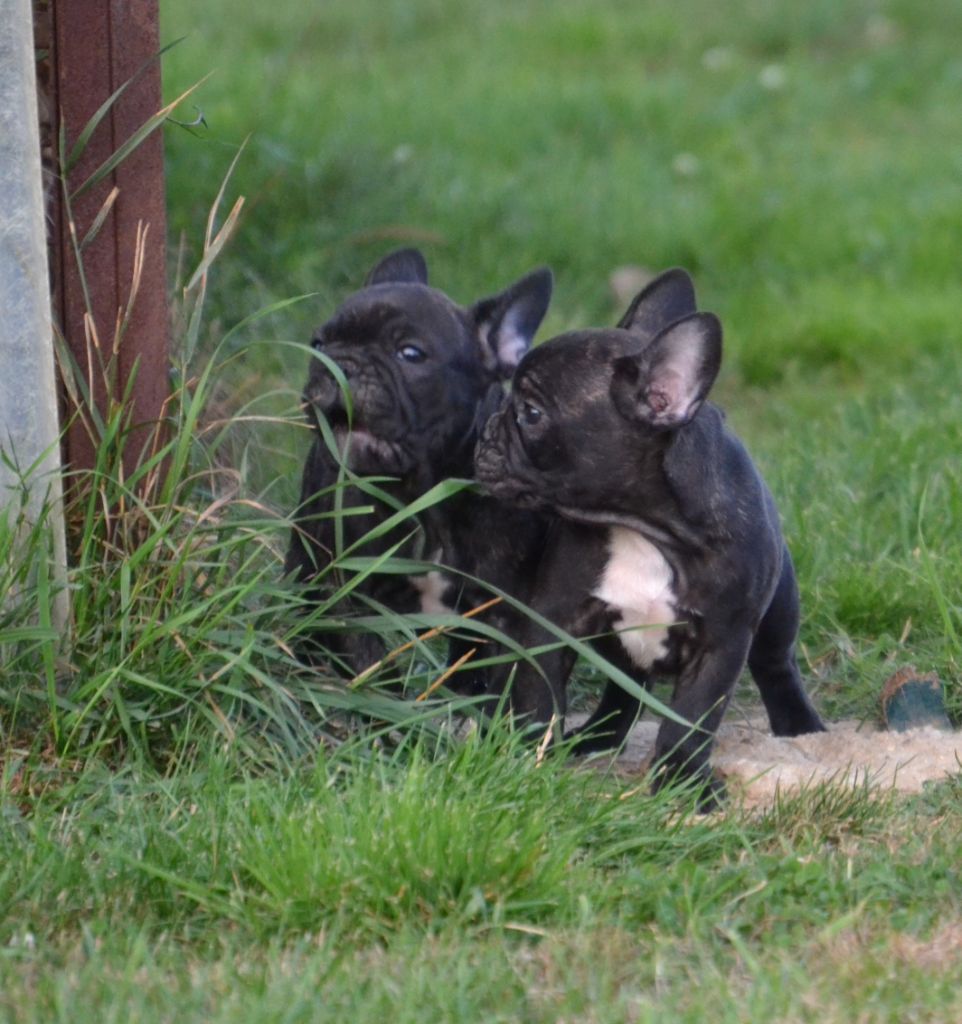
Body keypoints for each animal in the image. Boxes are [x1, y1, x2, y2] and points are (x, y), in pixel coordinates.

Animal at [286, 245, 553, 679]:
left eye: (410, 354)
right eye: (319, 344)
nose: (339, 363)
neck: (422, 495)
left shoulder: (494, 613)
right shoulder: (347, 590)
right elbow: (367, 660)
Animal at [477, 268, 823, 802]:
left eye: (531, 412)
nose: (488, 429)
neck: (644, 527)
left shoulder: (720, 643)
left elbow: (690, 719)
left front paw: (685, 782)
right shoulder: (554, 622)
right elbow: (538, 695)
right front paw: (530, 756)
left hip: (779, 608)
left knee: (776, 666)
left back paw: (801, 728)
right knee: (625, 694)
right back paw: (593, 739)